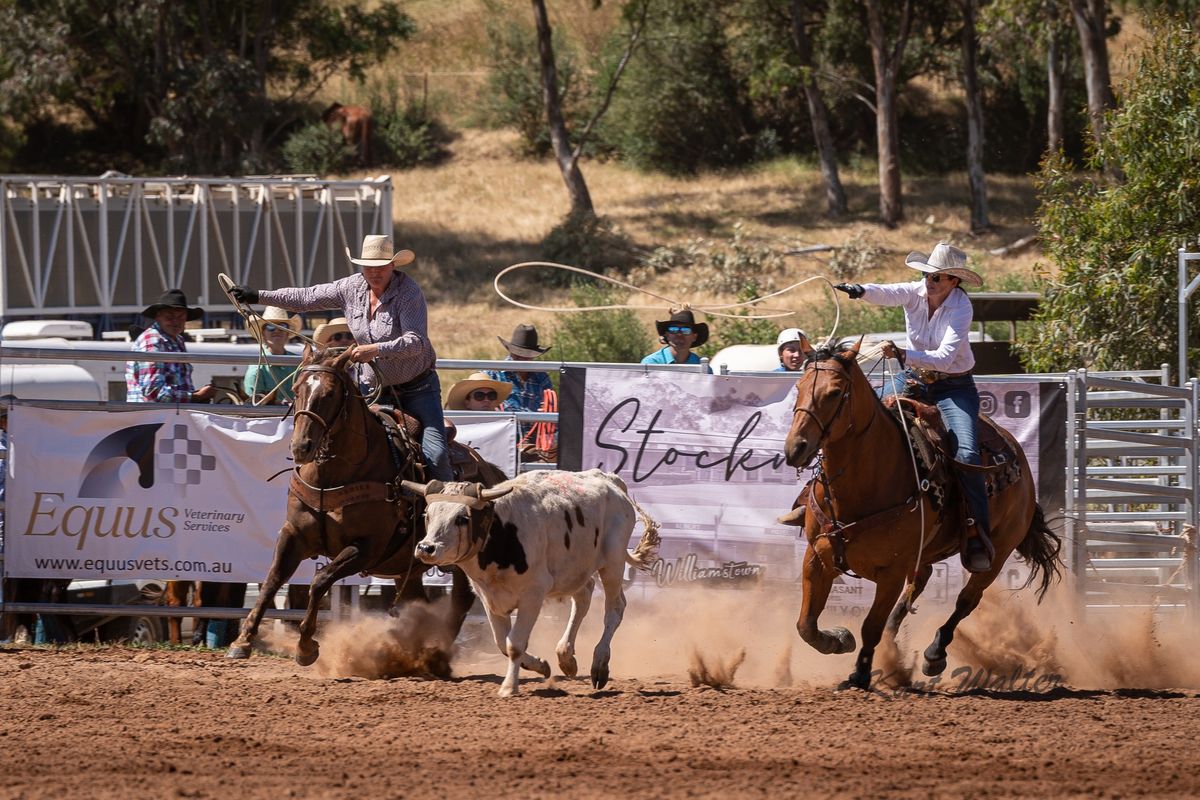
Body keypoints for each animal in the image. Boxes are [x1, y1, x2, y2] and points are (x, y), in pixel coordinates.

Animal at [408, 470, 662, 695]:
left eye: (462, 518)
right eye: (427, 514)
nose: (426, 548)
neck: (502, 534)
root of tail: (610, 480)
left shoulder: (533, 595)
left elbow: (515, 644)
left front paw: (509, 687)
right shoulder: (489, 598)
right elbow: (502, 642)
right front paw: (540, 665)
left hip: (612, 563)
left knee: (614, 608)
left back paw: (599, 665)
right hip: (575, 570)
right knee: (583, 598)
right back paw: (566, 657)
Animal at [777, 340, 1060, 690]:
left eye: (834, 392)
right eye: (799, 387)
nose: (796, 448)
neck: (861, 487)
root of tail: (1018, 455)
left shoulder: (892, 571)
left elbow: (869, 625)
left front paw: (860, 675)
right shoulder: (816, 556)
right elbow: (806, 624)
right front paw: (839, 639)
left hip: (999, 552)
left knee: (966, 600)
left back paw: (934, 654)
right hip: (925, 553)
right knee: (919, 586)